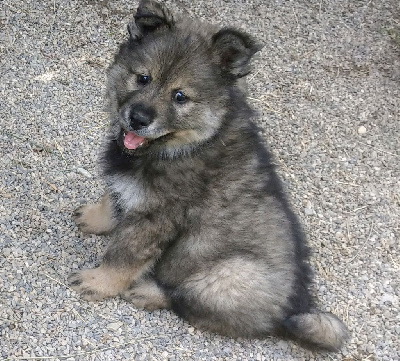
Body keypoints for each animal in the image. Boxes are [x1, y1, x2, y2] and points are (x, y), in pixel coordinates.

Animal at [69, 0, 346, 348]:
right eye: (143, 78)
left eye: (180, 97)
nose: (138, 118)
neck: (192, 144)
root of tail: (291, 312)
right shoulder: (129, 188)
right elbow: (112, 198)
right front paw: (95, 218)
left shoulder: (154, 217)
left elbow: (122, 257)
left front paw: (98, 282)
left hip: (227, 275)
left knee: (185, 301)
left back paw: (147, 291)